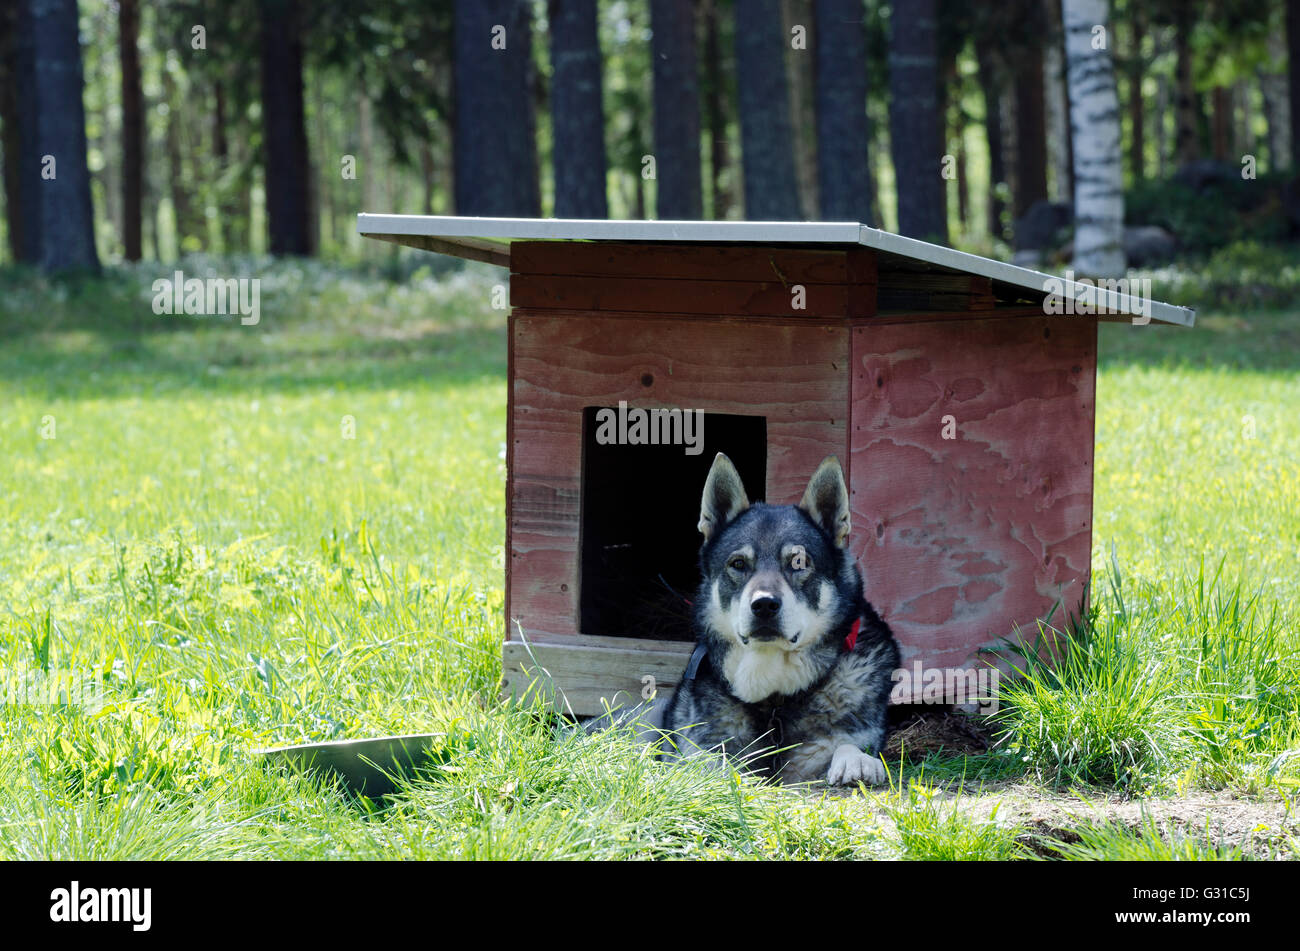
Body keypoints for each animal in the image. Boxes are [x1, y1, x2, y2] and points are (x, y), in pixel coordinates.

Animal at [647, 452, 894, 789]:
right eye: (738, 564)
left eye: (799, 563)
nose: (764, 605)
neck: (776, 700)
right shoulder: (697, 748)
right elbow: (709, 761)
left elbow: (847, 744)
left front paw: (856, 761)